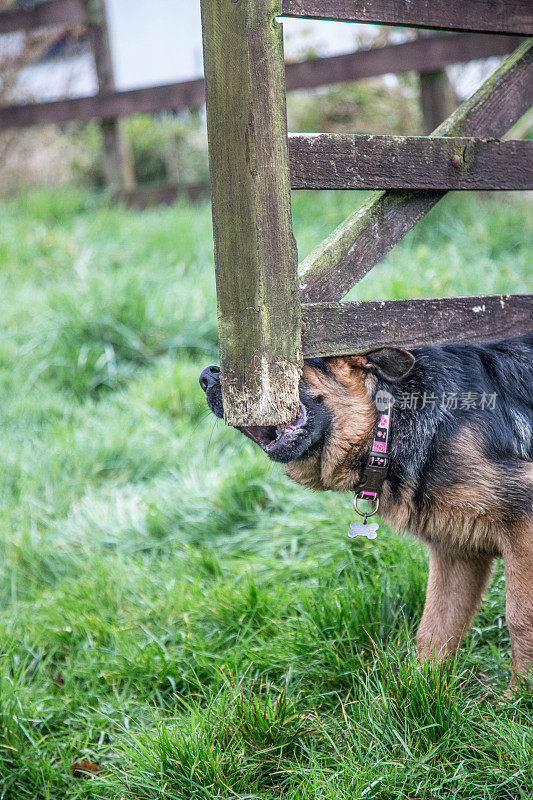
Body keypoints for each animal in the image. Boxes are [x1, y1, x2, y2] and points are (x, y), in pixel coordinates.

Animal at [200, 334, 532, 684]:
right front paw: (420, 687)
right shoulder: (457, 552)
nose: (205, 376)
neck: (387, 423)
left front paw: (518, 693)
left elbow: (520, 619)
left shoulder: (523, 525)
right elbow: (435, 630)